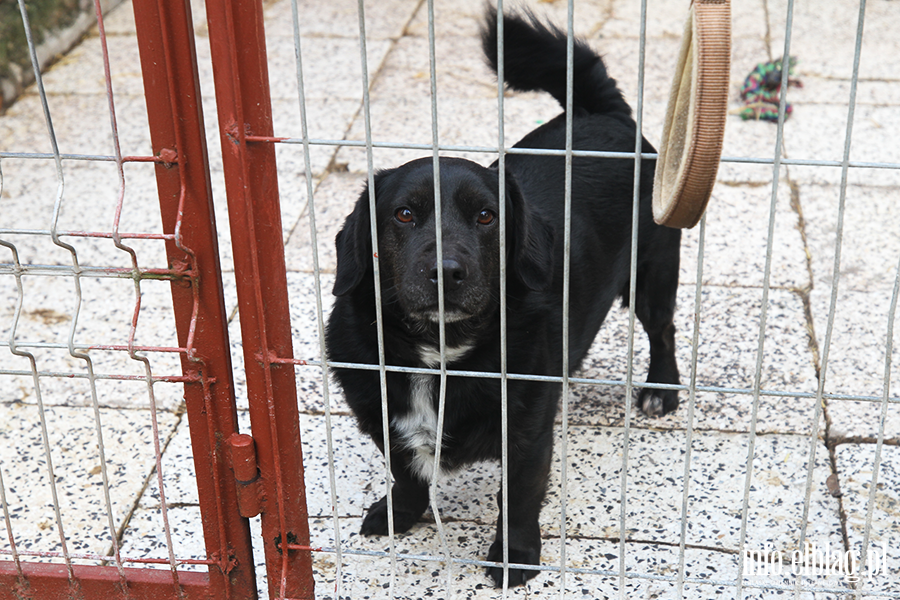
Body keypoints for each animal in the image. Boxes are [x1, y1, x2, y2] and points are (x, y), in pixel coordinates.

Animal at [326, 8, 684, 584]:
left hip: (653, 275)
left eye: (486, 216)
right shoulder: (382, 415)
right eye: (403, 214)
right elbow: (405, 472)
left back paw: (661, 389)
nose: (446, 271)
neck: (441, 353)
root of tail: (600, 112)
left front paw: (514, 557)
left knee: (663, 329)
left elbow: (517, 497)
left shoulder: (527, 435)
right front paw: (400, 513)